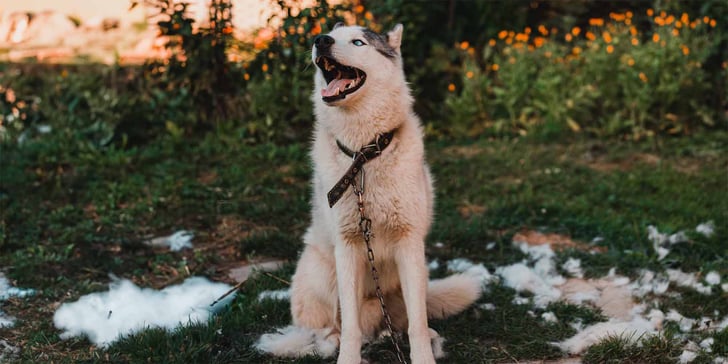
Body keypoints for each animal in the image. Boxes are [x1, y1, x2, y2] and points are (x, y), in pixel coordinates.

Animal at [256, 24, 484, 362]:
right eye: (330, 34)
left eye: (358, 42)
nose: (320, 40)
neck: (363, 155)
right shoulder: (348, 247)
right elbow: (350, 326)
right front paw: (348, 357)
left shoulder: (409, 243)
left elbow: (417, 323)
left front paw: (422, 354)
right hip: (323, 275)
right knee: (332, 325)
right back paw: (333, 339)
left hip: (415, 275)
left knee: (406, 318)